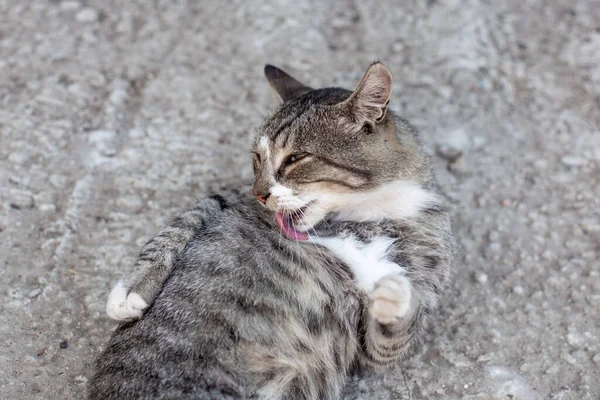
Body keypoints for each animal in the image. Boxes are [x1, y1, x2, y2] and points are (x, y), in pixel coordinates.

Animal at [88, 62, 454, 400]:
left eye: (295, 158)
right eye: (257, 158)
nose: (259, 193)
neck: (360, 216)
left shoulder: (379, 336)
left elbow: (391, 333)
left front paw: (393, 295)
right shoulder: (228, 199)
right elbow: (179, 225)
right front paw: (129, 292)